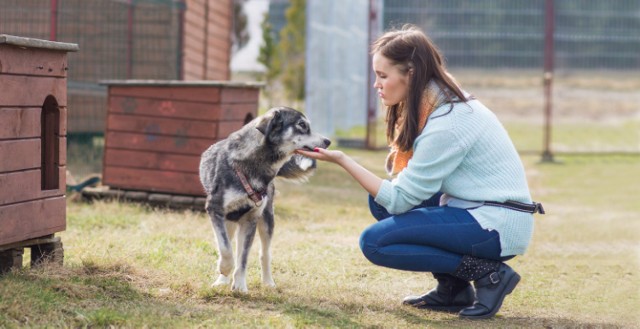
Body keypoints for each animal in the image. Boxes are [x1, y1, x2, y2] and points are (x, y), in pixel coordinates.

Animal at [199, 106, 330, 290]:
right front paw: (225, 269)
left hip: (267, 221)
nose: (328, 141)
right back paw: (222, 280)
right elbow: (225, 249)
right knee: (228, 245)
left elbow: (243, 259)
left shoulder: (251, 219)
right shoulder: (214, 209)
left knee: (264, 254)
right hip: (229, 221)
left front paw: (240, 286)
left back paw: (268, 282)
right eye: (302, 125)